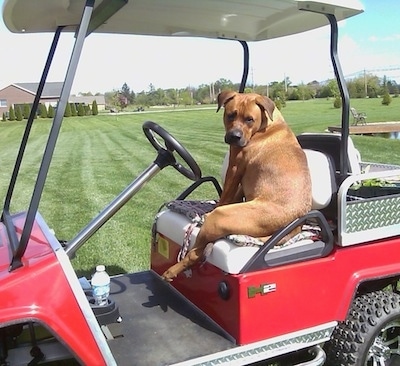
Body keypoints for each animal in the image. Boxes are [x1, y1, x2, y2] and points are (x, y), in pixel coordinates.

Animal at [161, 91, 310, 280]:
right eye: (230, 115)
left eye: (250, 119)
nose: (234, 136)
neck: (266, 125)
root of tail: (296, 224)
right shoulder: (240, 178)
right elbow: (234, 194)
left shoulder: (235, 166)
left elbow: (225, 196)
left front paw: (213, 206)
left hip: (218, 220)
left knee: (195, 253)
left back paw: (171, 271)